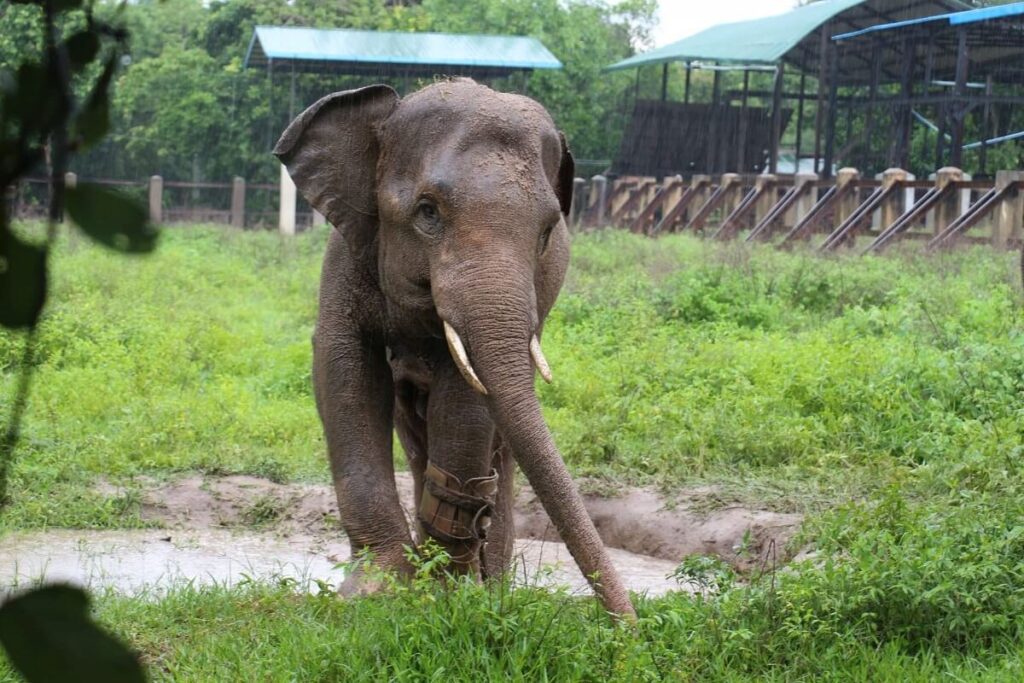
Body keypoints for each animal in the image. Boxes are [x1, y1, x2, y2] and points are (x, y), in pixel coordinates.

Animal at [275, 78, 634, 619]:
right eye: (428, 212)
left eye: (547, 232)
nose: (628, 625)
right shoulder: (346, 256)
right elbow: (344, 368)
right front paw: (378, 592)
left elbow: (465, 395)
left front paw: (448, 595)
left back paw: (491, 584)